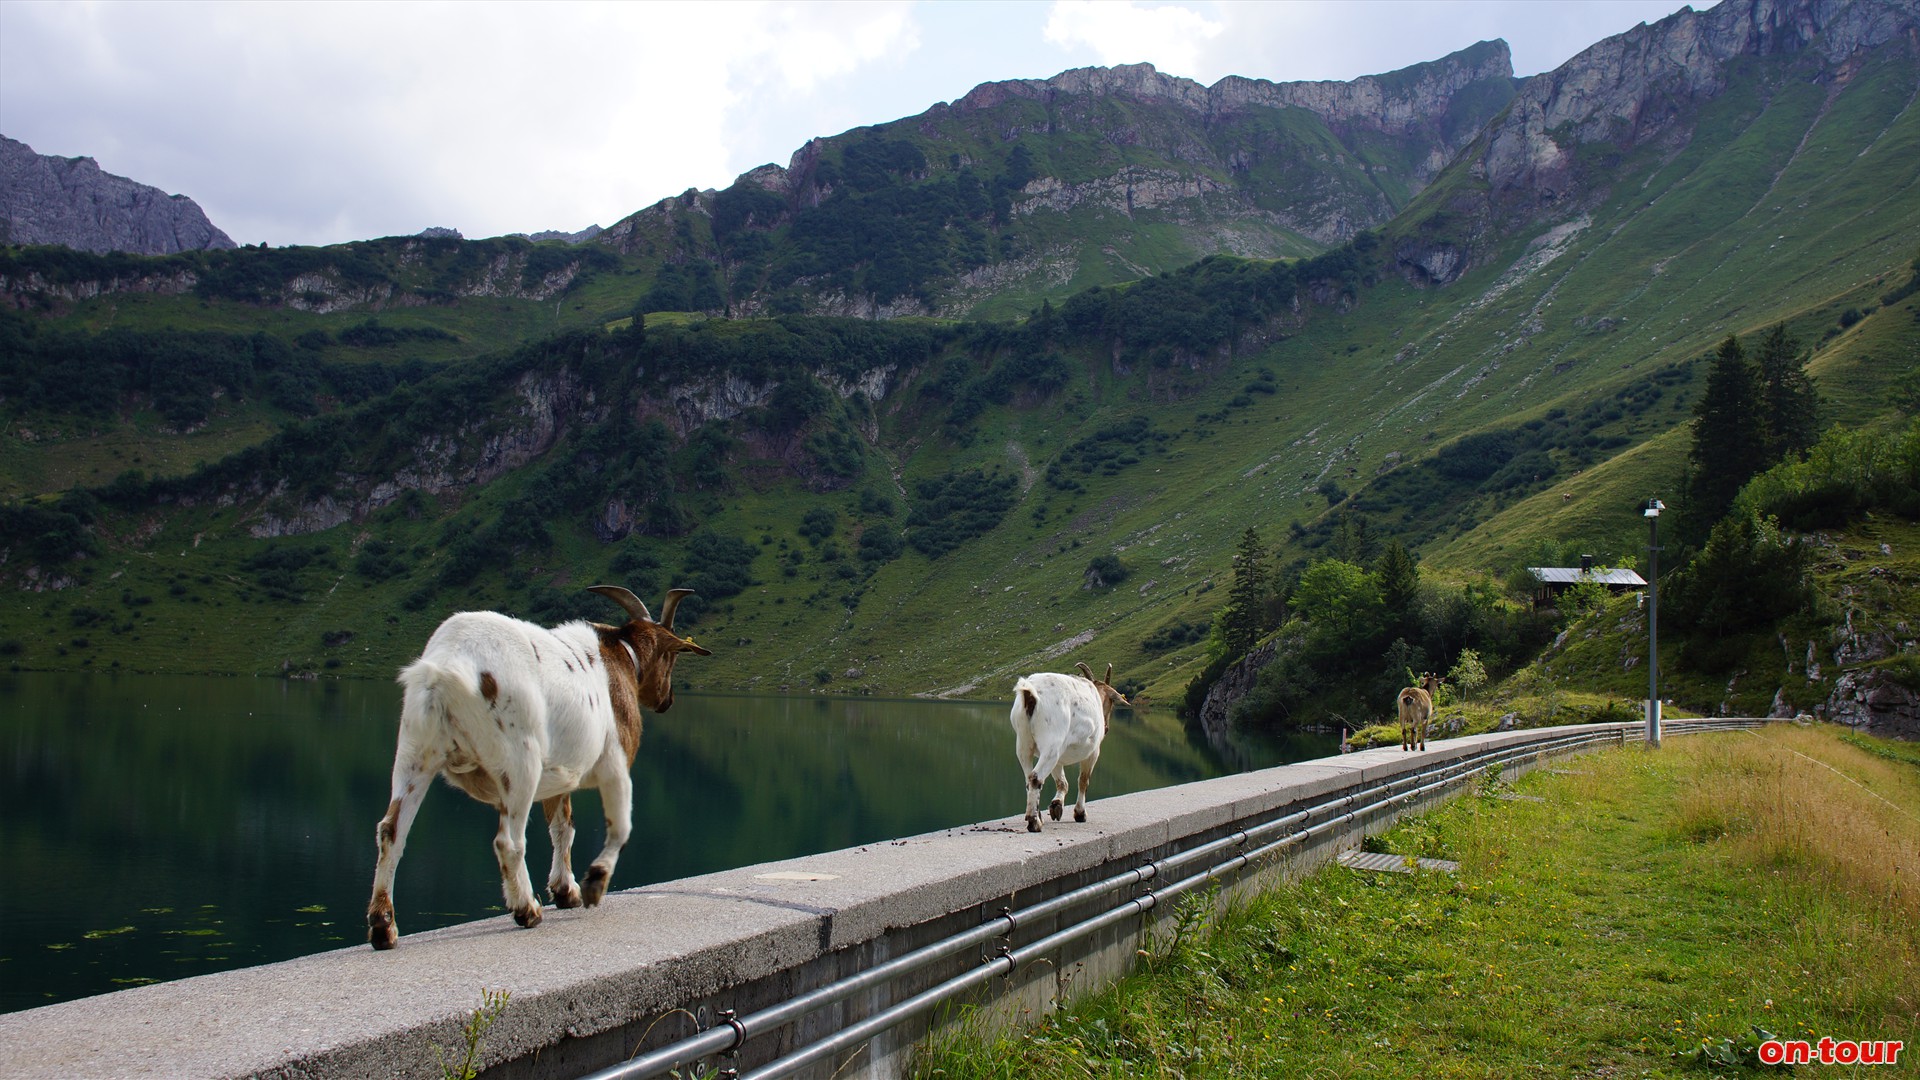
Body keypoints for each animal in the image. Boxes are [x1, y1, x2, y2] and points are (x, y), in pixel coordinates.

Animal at [366, 584, 714, 945]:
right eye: (671, 656)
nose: (667, 700)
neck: (620, 658)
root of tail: (447, 666)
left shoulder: (560, 773)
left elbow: (563, 827)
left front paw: (565, 891)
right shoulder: (616, 762)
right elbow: (620, 827)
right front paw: (593, 883)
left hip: (414, 753)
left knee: (391, 830)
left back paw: (383, 926)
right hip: (519, 762)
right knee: (508, 841)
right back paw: (526, 909)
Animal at [1006, 657, 1121, 834]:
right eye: (1111, 702)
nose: (1106, 728)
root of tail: (1030, 694)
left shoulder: (1058, 756)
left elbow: (1062, 782)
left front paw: (1056, 806)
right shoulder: (1093, 752)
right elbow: (1083, 780)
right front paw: (1080, 814)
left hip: (1024, 742)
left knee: (1028, 777)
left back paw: (1037, 817)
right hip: (1051, 741)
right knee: (1035, 777)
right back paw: (1034, 822)